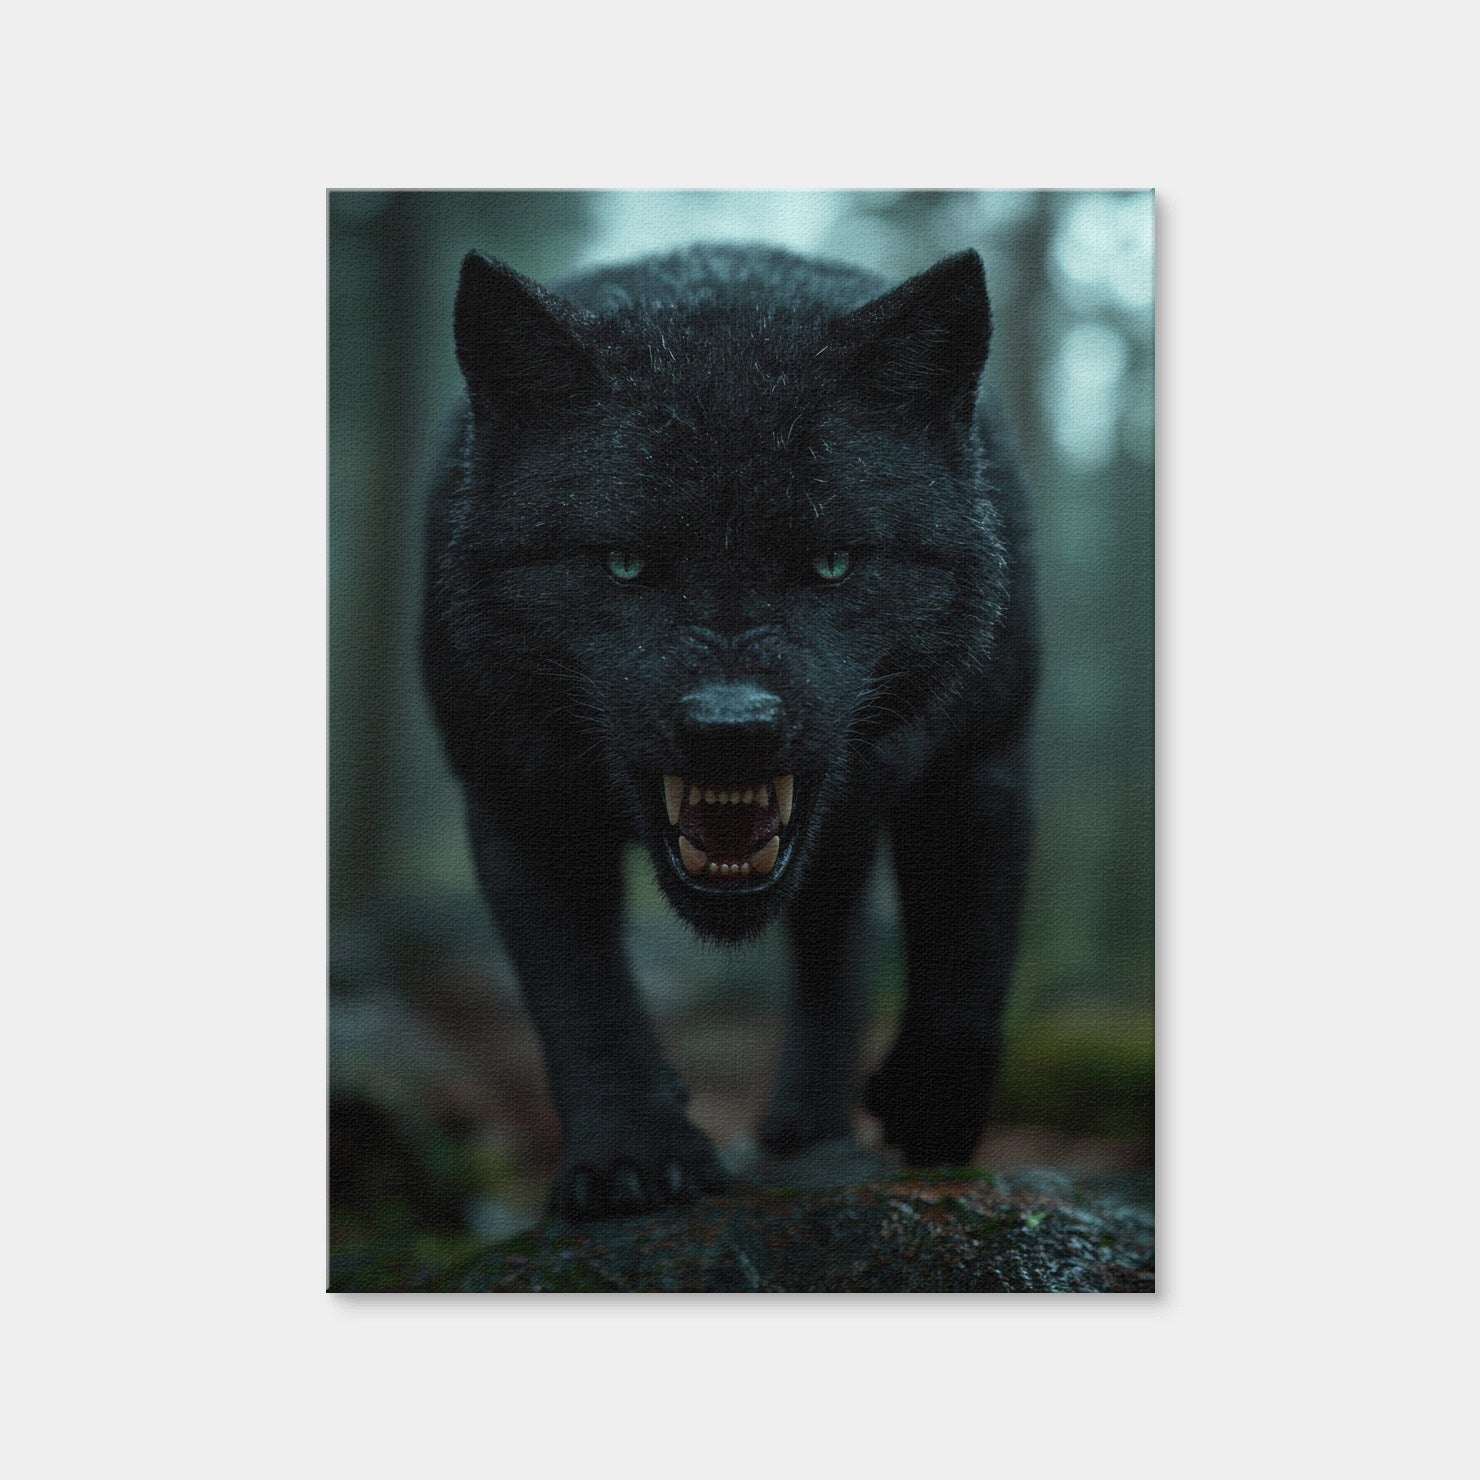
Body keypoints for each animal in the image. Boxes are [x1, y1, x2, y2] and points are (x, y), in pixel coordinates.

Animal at [422, 244, 1038, 1218]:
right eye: (624, 562)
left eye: (831, 562)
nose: (731, 727)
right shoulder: (515, 798)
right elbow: (580, 992)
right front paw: (634, 1159)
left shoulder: (982, 758)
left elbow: (970, 951)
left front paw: (932, 1109)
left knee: (836, 950)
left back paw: (809, 1126)